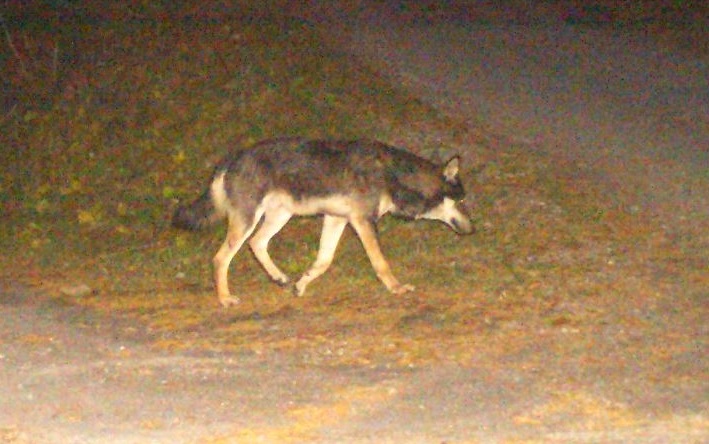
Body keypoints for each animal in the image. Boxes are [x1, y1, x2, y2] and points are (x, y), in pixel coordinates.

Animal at [173, 138, 474, 307]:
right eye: (461, 200)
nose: (473, 229)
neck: (394, 175)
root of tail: (230, 159)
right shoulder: (363, 221)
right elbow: (380, 263)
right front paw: (397, 288)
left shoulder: (336, 219)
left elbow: (323, 261)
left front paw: (301, 284)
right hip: (249, 221)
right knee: (220, 259)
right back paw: (225, 298)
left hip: (280, 216)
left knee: (257, 244)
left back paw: (280, 278)